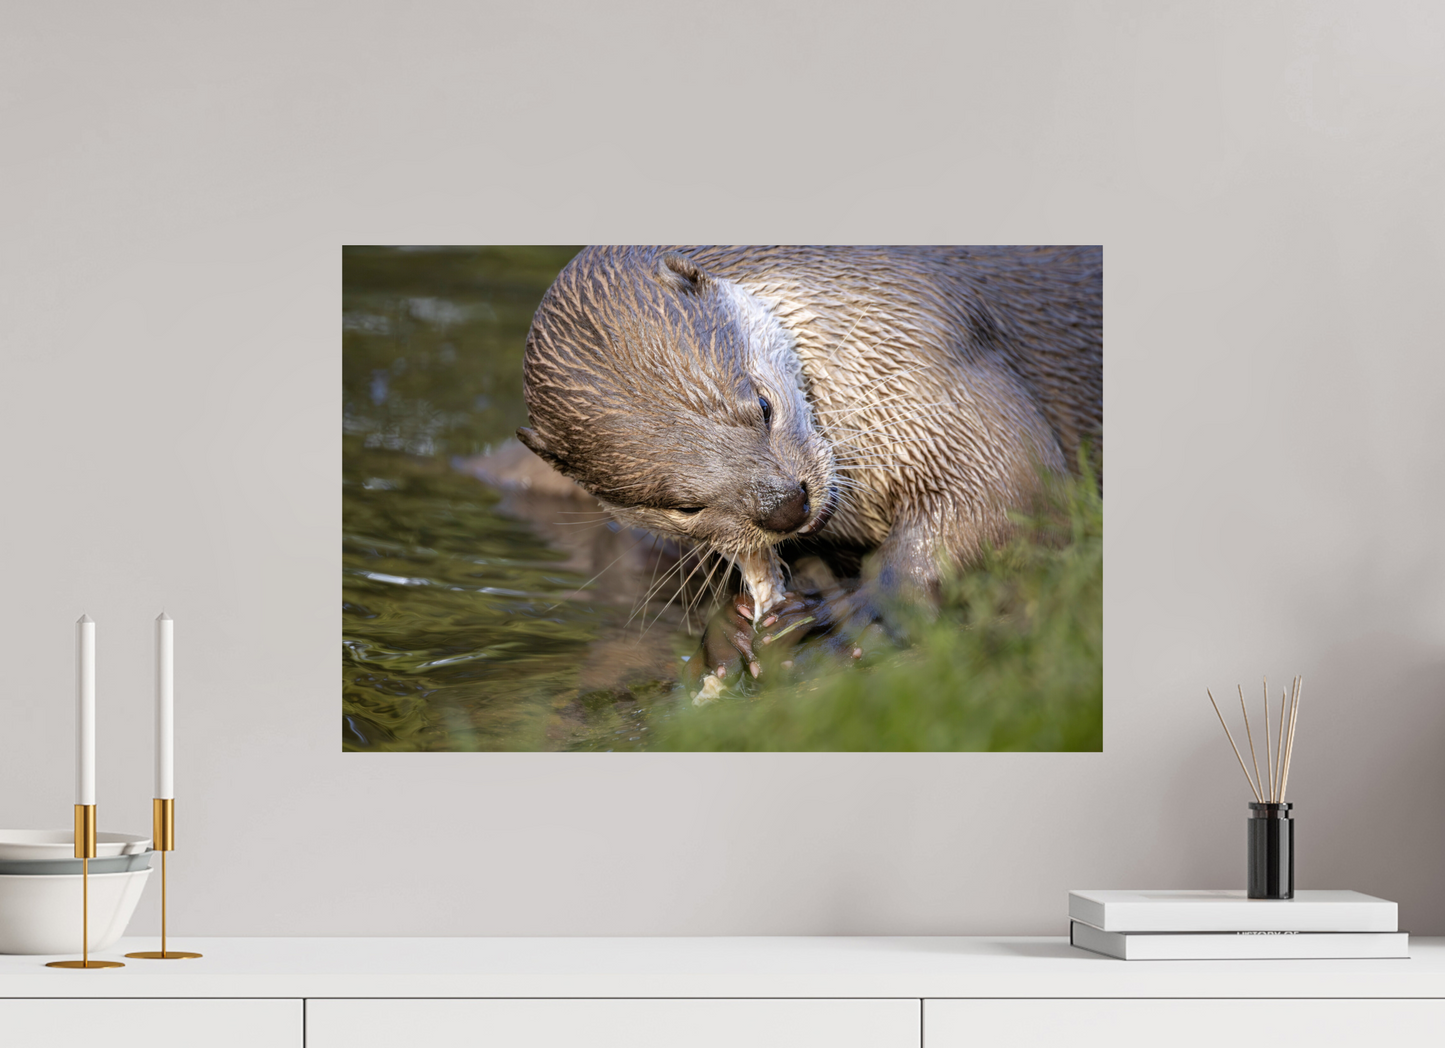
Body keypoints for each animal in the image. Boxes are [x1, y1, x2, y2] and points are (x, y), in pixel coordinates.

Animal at [516, 246, 1101, 678]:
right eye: (681, 507)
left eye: (762, 405)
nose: (783, 506)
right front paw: (726, 630)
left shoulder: (930, 347)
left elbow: (1013, 491)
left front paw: (851, 610)